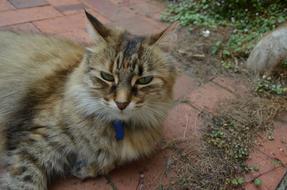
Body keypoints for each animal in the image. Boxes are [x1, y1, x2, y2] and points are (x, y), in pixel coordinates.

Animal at [0, 11, 178, 189]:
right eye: (107, 76)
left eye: (144, 80)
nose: (121, 104)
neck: (114, 128)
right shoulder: (35, 143)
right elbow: (24, 181)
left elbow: (108, 162)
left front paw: (85, 167)